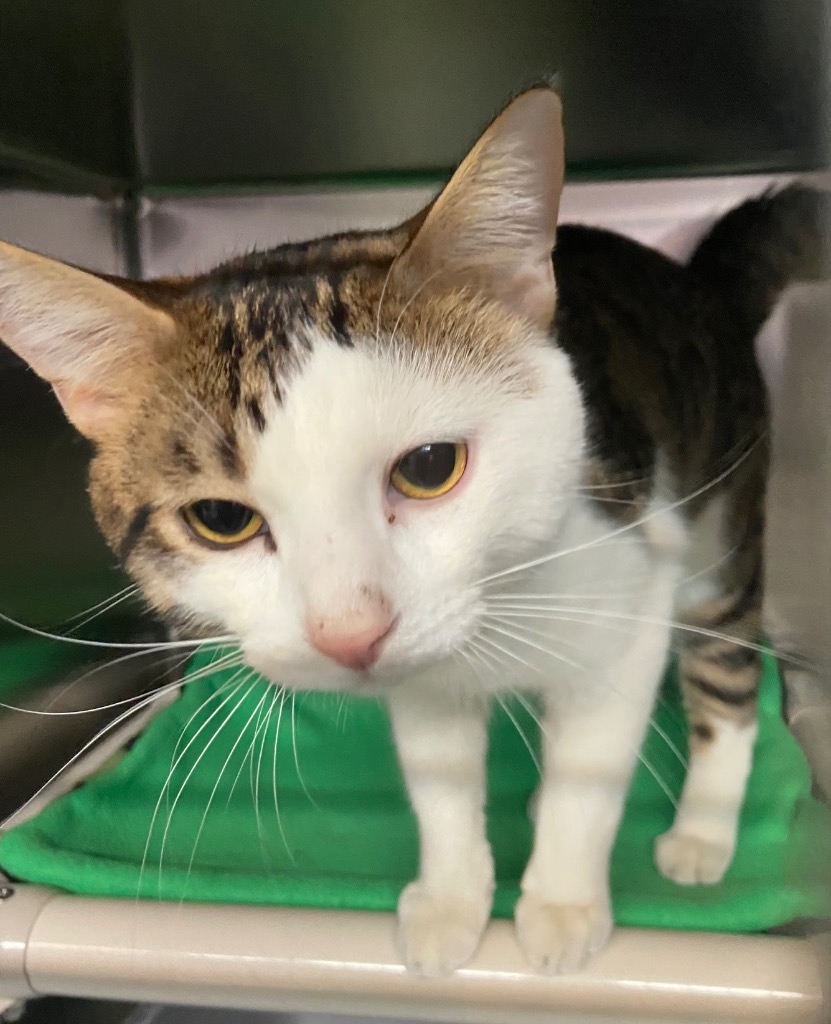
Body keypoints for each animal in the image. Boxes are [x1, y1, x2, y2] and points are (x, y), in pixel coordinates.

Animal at [0, 86, 826, 974]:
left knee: (726, 670)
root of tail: (697, 284)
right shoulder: (422, 678)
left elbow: (590, 773)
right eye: (220, 519)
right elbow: (439, 780)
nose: (348, 635)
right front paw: (453, 898)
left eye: (430, 467)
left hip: (719, 524)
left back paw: (701, 830)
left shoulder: (628, 591)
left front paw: (561, 902)